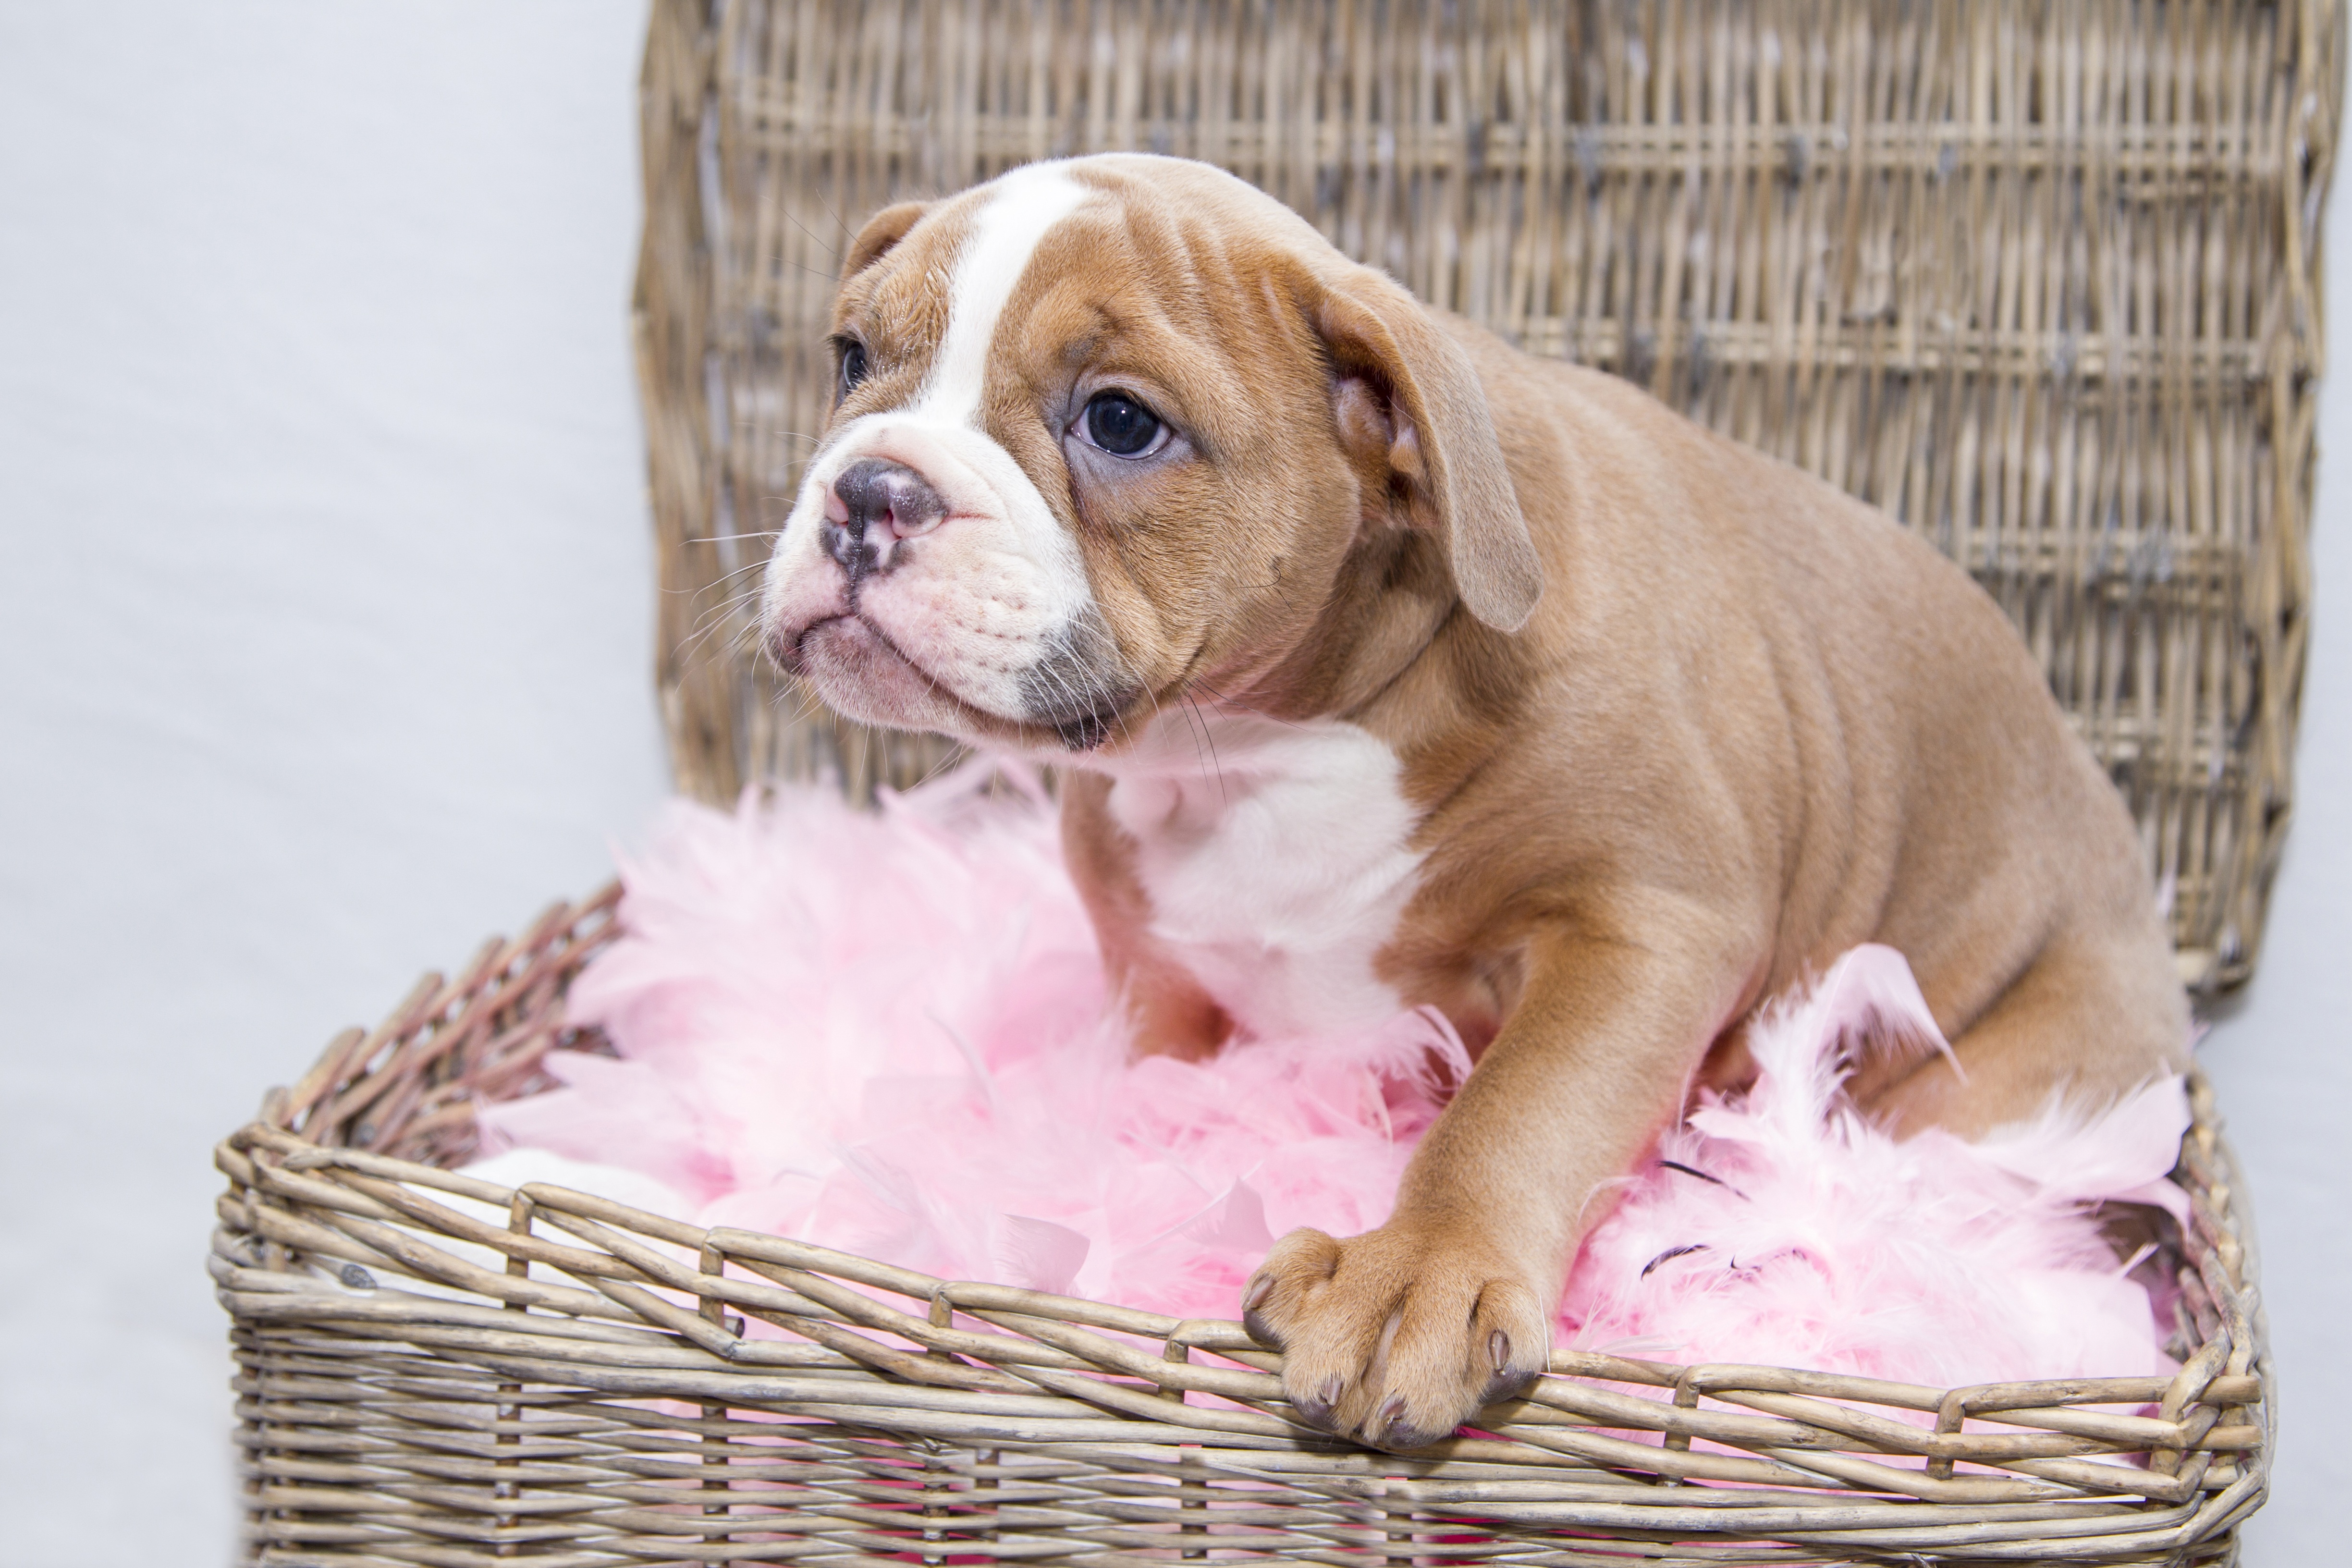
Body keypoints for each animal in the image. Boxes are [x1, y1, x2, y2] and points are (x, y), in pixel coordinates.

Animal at [762, 153, 2192, 1458]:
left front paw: (1418, 1271)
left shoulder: (1641, 930)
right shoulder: (1152, 968)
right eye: (849, 357)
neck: (1260, 746)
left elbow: (1516, 1109)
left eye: (1119, 422)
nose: (873, 488)